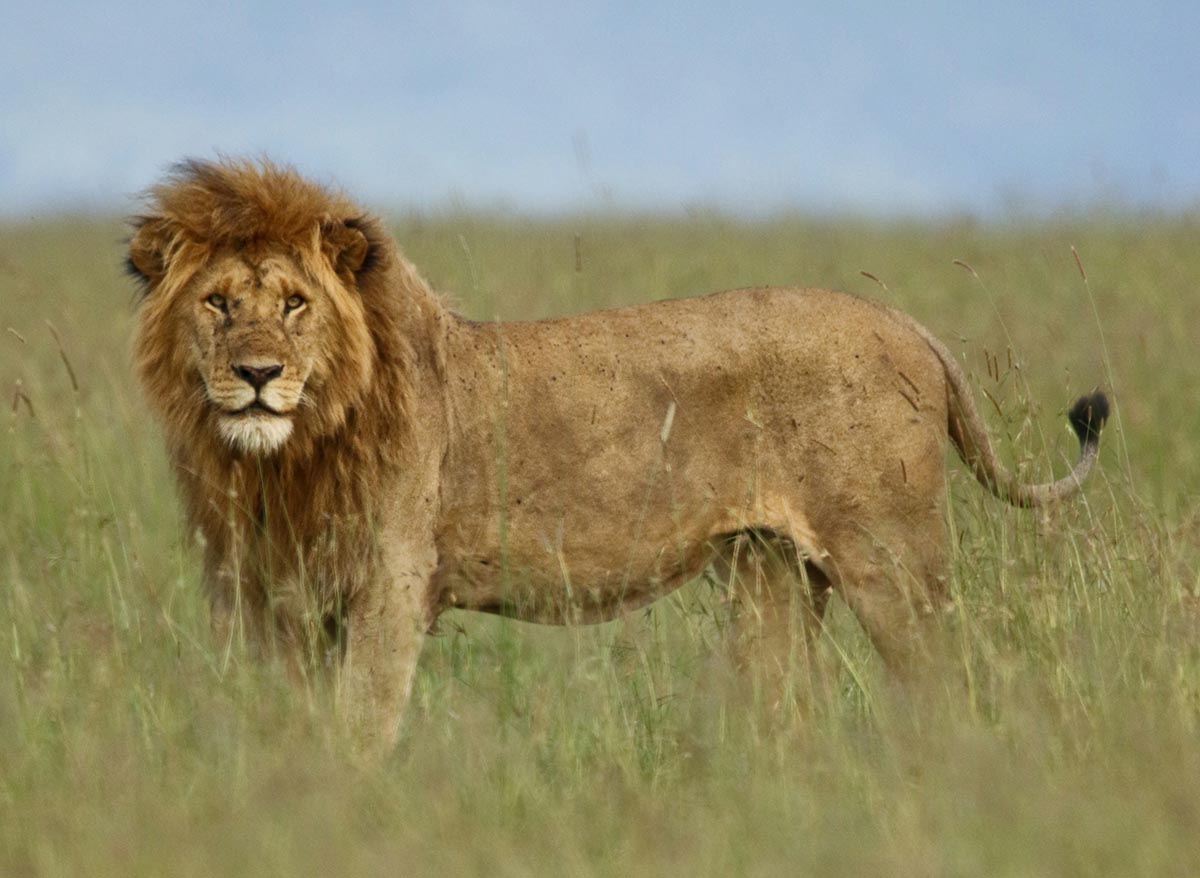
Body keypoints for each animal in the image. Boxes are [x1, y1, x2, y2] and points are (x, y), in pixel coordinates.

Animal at [126, 158, 1108, 750]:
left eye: (295, 304)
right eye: (217, 303)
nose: (257, 375)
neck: (284, 457)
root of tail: (908, 323)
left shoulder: (391, 584)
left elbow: (361, 724)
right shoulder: (266, 593)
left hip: (891, 561)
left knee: (950, 685)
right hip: (769, 572)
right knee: (786, 707)